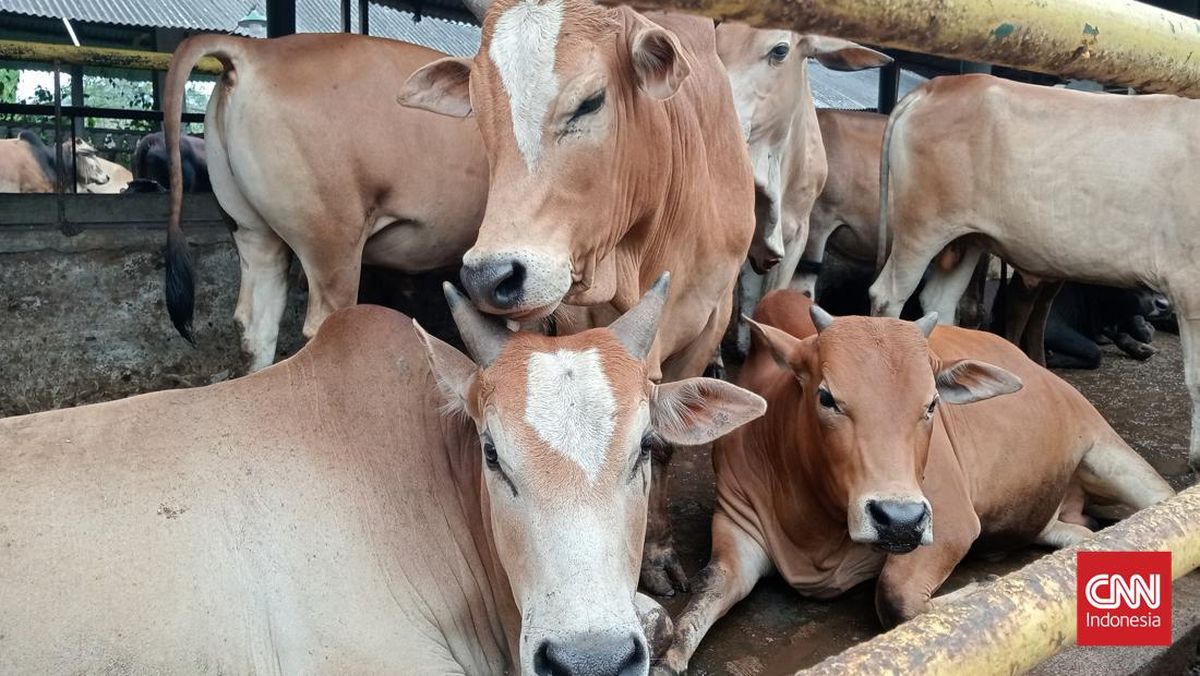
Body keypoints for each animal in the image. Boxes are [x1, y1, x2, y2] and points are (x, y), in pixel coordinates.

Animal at [399, 0, 756, 595]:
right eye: (479, 108)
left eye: (591, 101)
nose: (489, 276)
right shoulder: (559, 312)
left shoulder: (710, 315)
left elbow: (664, 440)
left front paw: (658, 552)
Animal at [656, 290, 1173, 672]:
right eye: (826, 397)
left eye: (931, 404)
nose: (899, 519)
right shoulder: (737, 523)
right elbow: (707, 589)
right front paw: (668, 655)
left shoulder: (952, 520)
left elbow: (898, 599)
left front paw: (977, 593)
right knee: (1081, 534)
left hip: (1109, 450)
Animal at [868, 73, 1200, 468]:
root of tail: (941, 84)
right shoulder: (1189, 283)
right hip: (922, 226)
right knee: (887, 296)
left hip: (969, 237)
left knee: (940, 302)